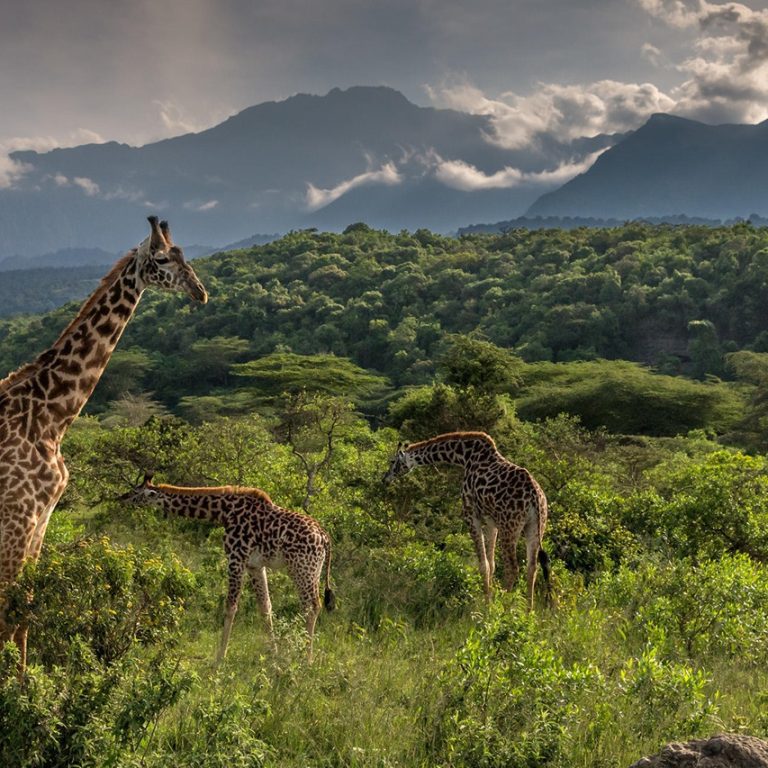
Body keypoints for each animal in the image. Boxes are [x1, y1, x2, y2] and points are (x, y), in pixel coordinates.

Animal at [0, 217, 208, 672]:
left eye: (185, 254)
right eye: (161, 259)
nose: (200, 292)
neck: (50, 416)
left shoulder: (41, 519)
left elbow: (23, 614)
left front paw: (25, 684)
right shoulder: (17, 516)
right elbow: (10, 610)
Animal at [119, 473, 336, 662]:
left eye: (136, 491)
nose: (121, 497)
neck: (224, 513)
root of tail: (325, 538)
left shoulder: (235, 558)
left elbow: (231, 606)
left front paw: (219, 659)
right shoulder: (255, 565)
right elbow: (265, 607)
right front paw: (272, 655)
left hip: (302, 569)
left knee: (312, 606)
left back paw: (306, 659)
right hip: (312, 570)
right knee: (310, 605)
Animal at [383, 431, 550, 610]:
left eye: (392, 461)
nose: (385, 478)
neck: (464, 456)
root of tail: (534, 495)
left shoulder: (471, 515)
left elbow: (483, 565)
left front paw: (487, 607)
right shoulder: (491, 521)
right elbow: (491, 564)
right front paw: (490, 600)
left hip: (510, 527)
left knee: (512, 568)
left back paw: (505, 610)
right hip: (535, 527)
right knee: (532, 567)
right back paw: (529, 612)